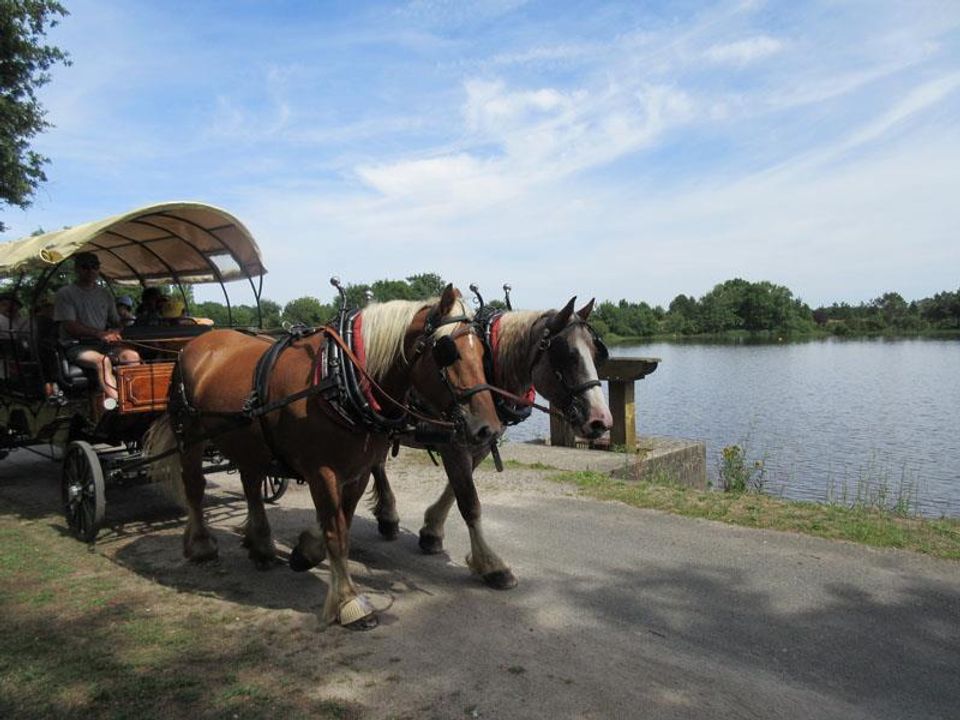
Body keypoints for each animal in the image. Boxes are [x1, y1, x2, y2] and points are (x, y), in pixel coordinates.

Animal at [146, 284, 502, 628]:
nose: (488, 428)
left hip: (247, 440)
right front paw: (348, 602)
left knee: (251, 484)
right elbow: (336, 533)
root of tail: (196, 343)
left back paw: (260, 546)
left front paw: (306, 553)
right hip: (189, 435)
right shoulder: (321, 471)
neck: (338, 378)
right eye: (447, 351)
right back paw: (202, 545)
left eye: (483, 352)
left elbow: (343, 521)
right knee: (195, 486)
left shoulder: (358, 471)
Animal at [368, 296, 616, 588]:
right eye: (567, 354)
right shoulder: (453, 444)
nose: (601, 420)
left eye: (596, 353)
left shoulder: (482, 442)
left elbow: (454, 492)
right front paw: (491, 564)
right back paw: (388, 515)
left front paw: (432, 531)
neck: (488, 368)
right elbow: (470, 503)